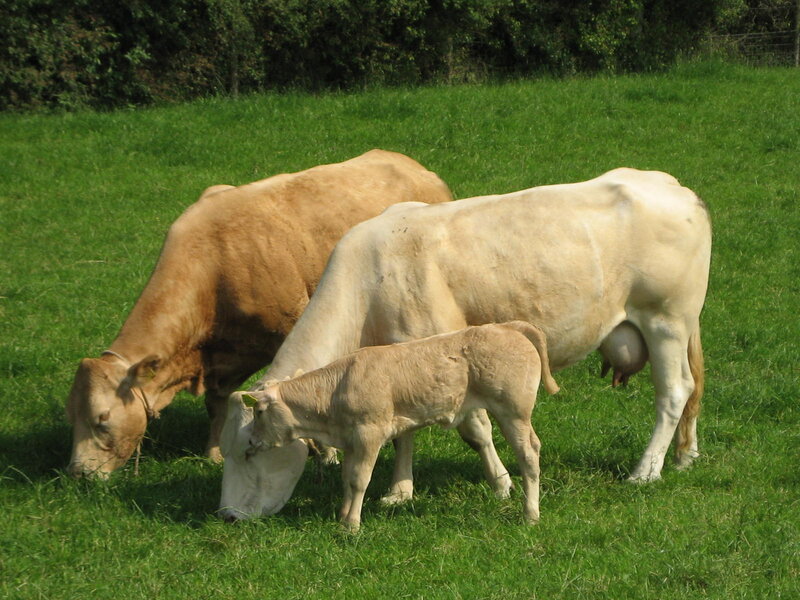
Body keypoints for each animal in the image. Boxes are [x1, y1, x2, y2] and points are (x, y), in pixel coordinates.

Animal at [64, 150, 453, 478]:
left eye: (102, 419)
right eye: (71, 415)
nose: (78, 474)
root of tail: (412, 166)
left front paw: (323, 453)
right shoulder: (222, 359)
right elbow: (217, 404)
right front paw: (214, 452)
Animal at [233, 321, 559, 530]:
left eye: (259, 411)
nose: (251, 442)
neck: (337, 388)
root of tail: (506, 327)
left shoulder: (369, 432)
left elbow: (359, 479)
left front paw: (352, 526)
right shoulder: (351, 440)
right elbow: (347, 478)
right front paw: (343, 516)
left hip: (513, 411)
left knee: (529, 453)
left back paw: (530, 514)